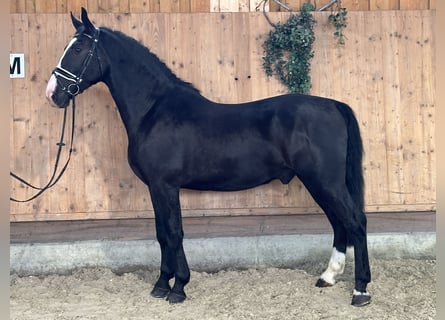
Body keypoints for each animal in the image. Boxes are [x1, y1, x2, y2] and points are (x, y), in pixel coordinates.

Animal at [46, 8, 372, 306]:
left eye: (77, 49)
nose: (53, 93)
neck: (155, 110)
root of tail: (334, 105)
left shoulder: (165, 185)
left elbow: (174, 233)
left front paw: (178, 288)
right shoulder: (156, 187)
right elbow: (161, 234)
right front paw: (161, 285)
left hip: (324, 181)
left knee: (355, 222)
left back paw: (360, 291)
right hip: (320, 183)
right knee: (339, 223)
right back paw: (328, 277)